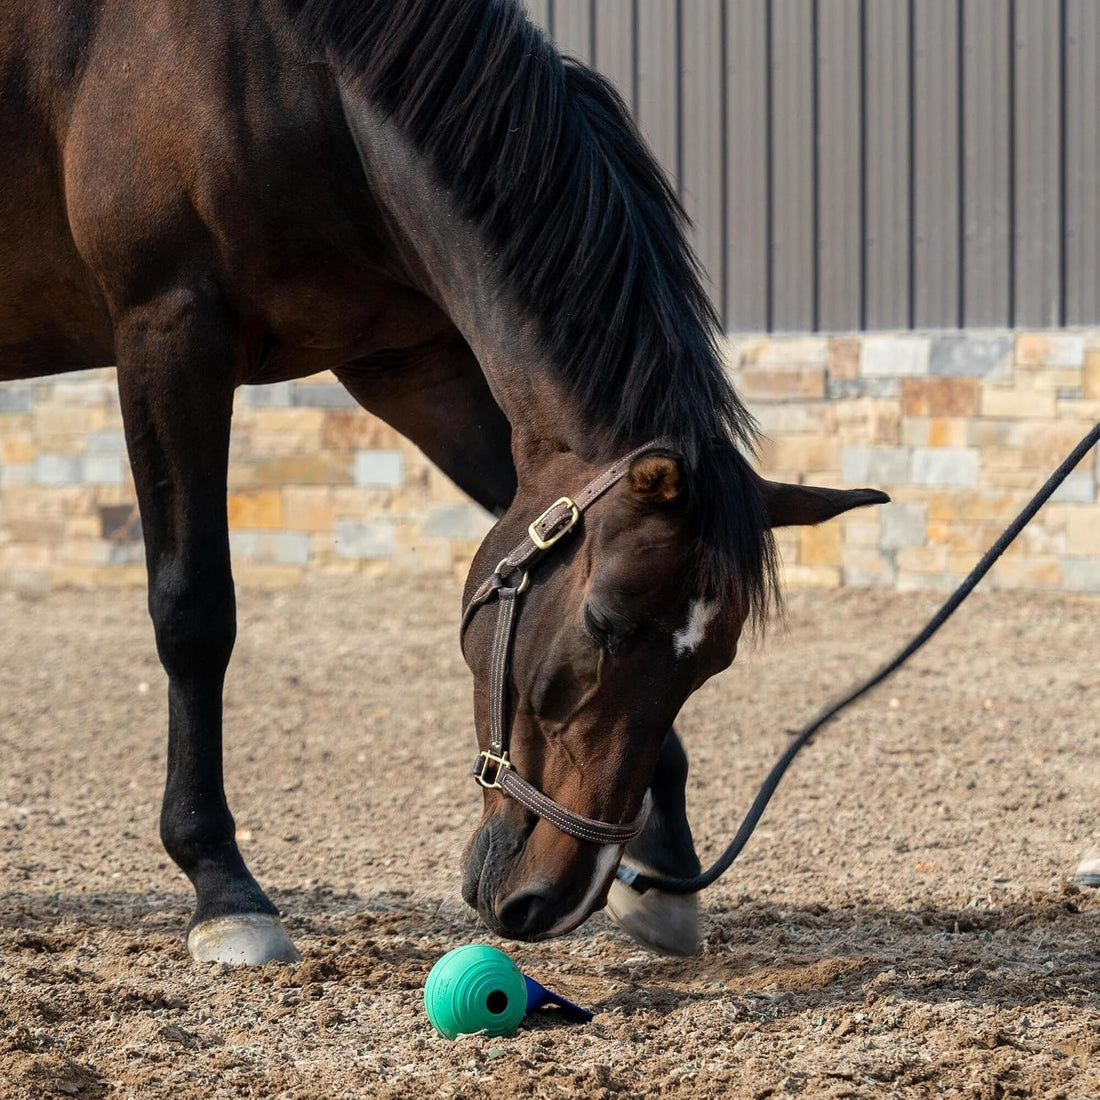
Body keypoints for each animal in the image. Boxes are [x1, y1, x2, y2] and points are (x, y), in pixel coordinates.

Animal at [0, 0, 888, 964]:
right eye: (602, 626)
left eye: (714, 662)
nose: (546, 900)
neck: (293, 75)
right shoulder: (169, 332)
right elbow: (194, 613)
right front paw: (224, 890)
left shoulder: (416, 368)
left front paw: (658, 868)